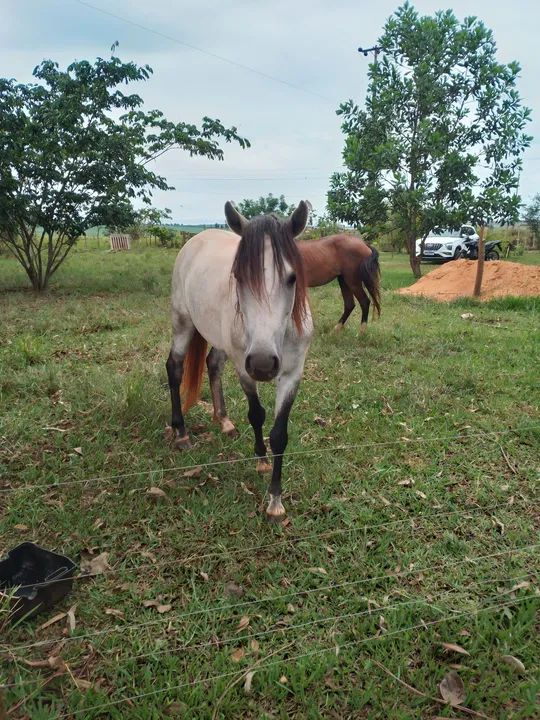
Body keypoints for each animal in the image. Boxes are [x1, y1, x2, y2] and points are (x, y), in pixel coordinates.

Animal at [165, 201, 313, 519]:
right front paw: (261, 460)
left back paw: (224, 422)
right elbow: (256, 414)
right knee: (175, 368)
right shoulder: (243, 368)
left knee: (212, 364)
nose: (263, 364)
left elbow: (279, 434)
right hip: (183, 324)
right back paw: (181, 433)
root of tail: (197, 239)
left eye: (292, 278)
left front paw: (275, 501)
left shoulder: (292, 374)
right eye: (240, 277)